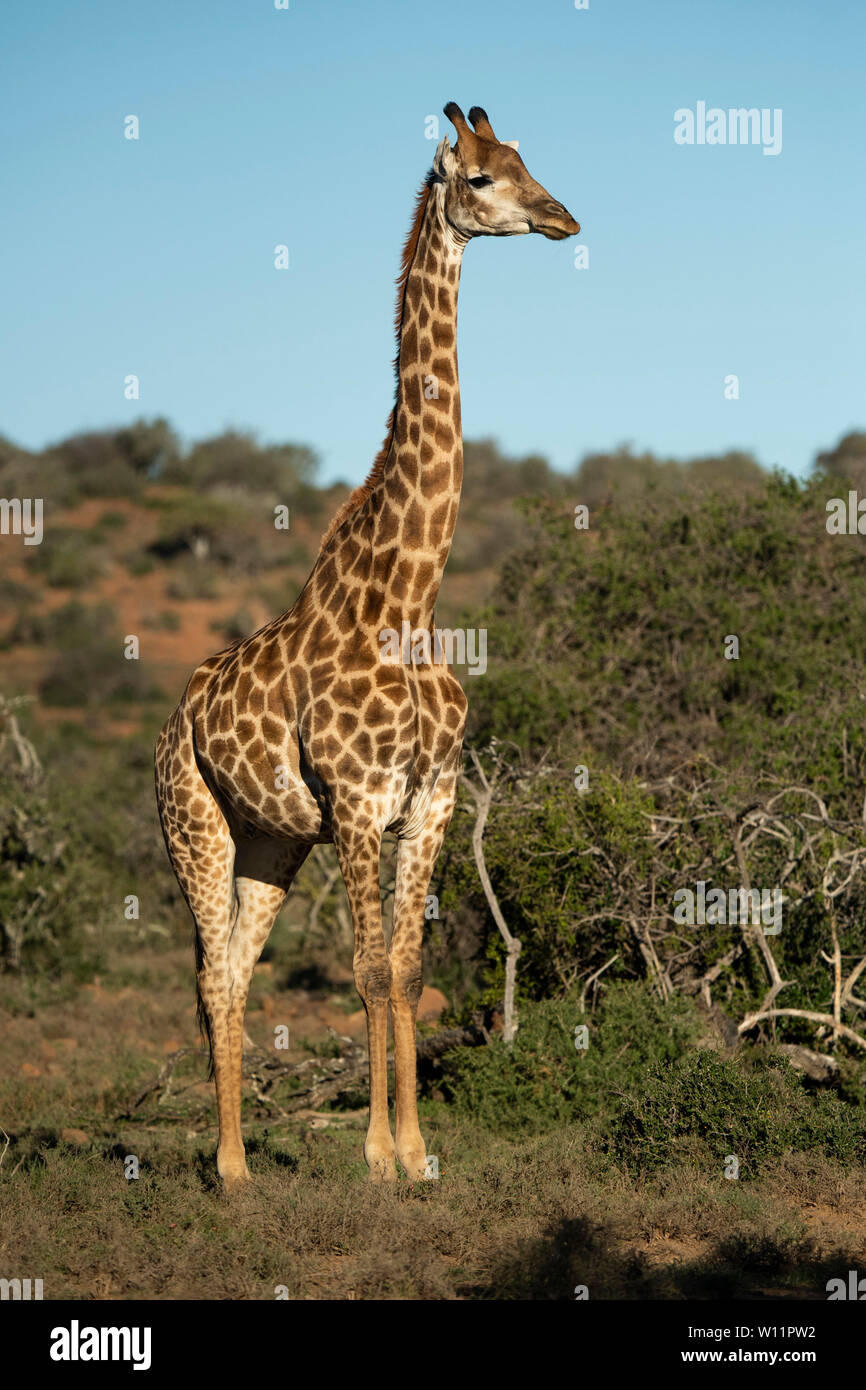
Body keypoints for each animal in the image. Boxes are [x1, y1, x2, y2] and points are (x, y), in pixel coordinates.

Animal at [155, 103, 580, 1189]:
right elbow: (367, 971)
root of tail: (172, 720)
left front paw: (418, 1154)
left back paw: (240, 1164)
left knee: (233, 974)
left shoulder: (428, 799)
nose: (562, 218)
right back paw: (230, 1169)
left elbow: (407, 967)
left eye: (525, 161)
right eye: (479, 178)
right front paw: (381, 1156)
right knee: (212, 979)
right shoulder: (355, 800)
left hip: (270, 840)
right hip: (195, 824)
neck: (410, 596)